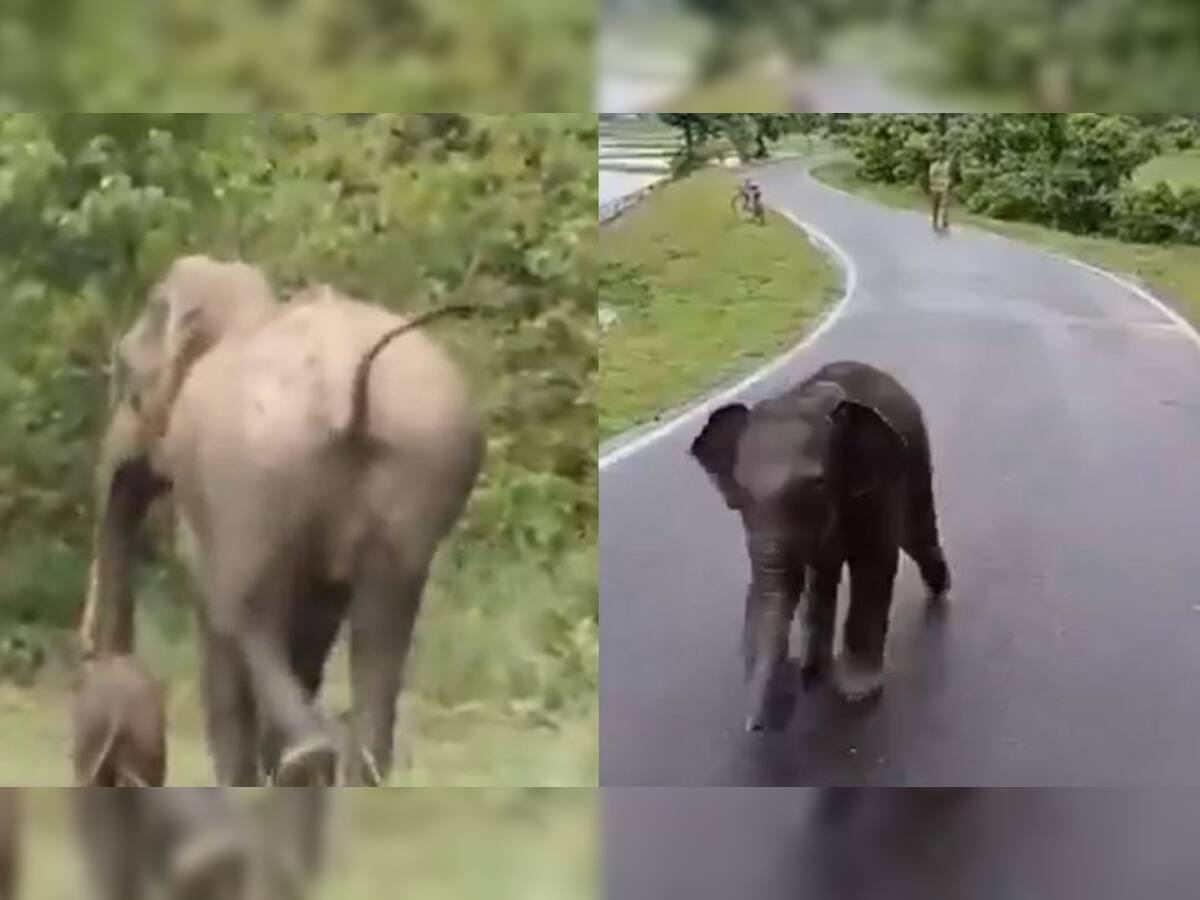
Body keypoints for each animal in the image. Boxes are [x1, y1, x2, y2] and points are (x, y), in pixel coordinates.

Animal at [690, 360, 951, 730]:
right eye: (741, 489)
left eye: (818, 483)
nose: (756, 724)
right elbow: (773, 583)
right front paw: (809, 676)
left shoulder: (874, 487)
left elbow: (874, 562)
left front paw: (858, 693)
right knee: (822, 574)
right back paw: (814, 667)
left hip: (914, 452)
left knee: (914, 532)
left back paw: (939, 590)